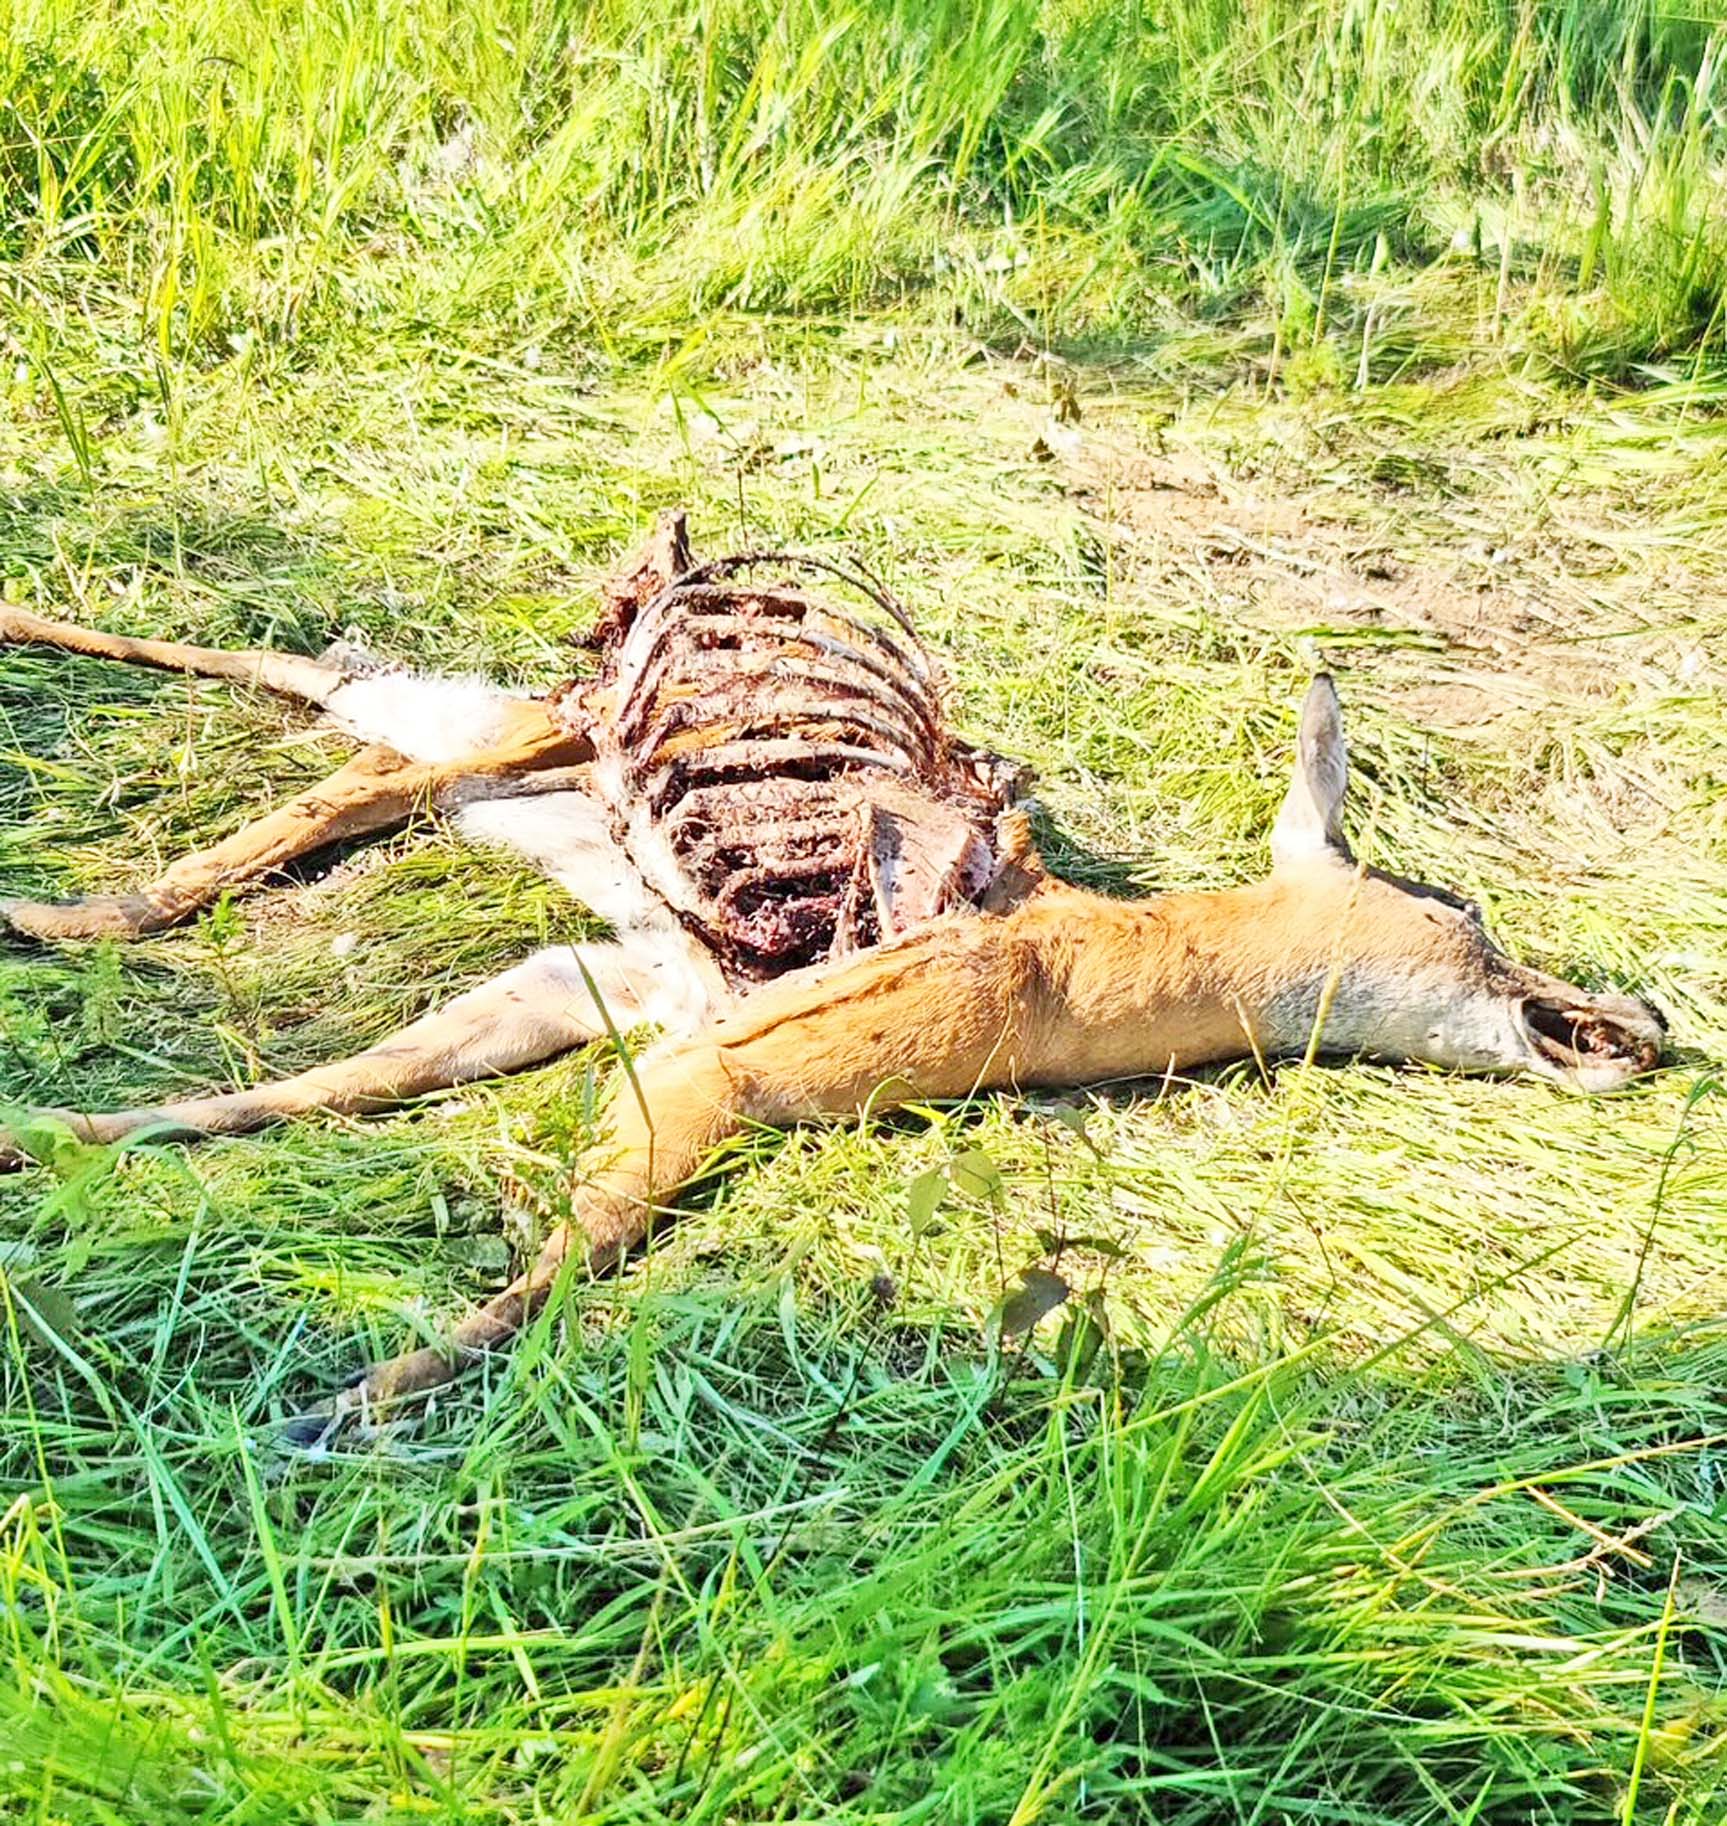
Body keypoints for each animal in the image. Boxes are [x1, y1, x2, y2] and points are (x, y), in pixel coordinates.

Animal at [0, 515, 1665, 1439]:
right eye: (1460, 907)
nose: (1645, 1019)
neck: (1107, 962)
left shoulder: (615, 995)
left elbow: (332, 1086)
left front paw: (61, 1142)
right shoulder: (728, 1059)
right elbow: (573, 1252)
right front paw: (347, 1403)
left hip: (478, 746)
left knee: (318, 710)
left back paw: (57, 914)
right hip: (526, 739)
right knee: (322, 761)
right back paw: (68, 905)